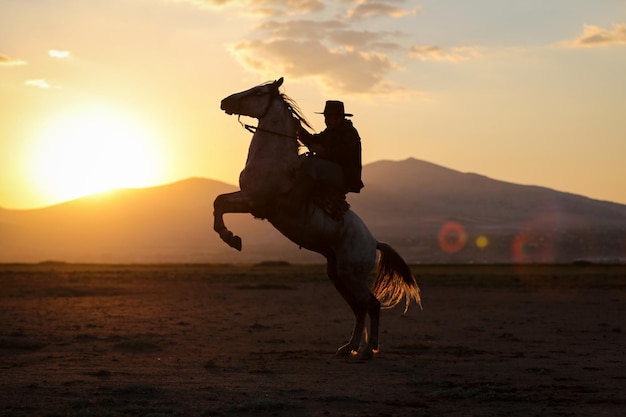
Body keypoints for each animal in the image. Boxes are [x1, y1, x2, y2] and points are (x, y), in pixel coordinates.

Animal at [213, 77, 420, 358]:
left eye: (257, 92)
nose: (225, 101)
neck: (275, 160)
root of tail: (374, 242)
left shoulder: (254, 201)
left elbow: (219, 203)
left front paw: (232, 238)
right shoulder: (246, 198)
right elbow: (218, 202)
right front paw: (231, 238)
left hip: (352, 275)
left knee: (372, 305)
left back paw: (368, 349)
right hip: (339, 275)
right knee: (359, 308)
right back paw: (349, 347)